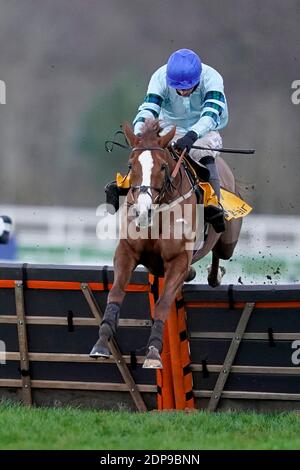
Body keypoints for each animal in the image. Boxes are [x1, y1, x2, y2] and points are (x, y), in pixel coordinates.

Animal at [90, 119, 243, 370]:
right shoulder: (126, 251)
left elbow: (163, 304)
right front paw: (102, 342)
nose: (143, 210)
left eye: (162, 167)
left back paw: (216, 273)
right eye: (131, 165)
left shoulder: (177, 260)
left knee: (219, 256)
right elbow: (116, 292)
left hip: (228, 240)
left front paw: (153, 352)